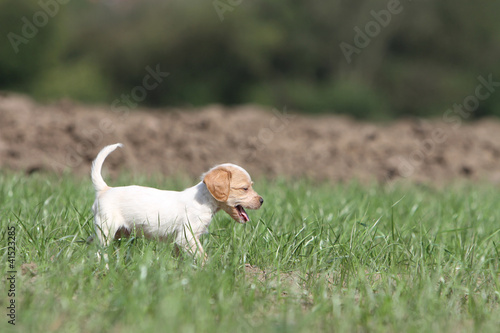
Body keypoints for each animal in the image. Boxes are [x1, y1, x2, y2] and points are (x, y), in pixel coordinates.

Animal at [93, 143, 266, 262]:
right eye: (245, 188)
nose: (262, 200)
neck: (204, 200)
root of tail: (105, 189)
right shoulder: (187, 237)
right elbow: (202, 256)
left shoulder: (180, 241)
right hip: (107, 229)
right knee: (99, 252)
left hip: (113, 232)